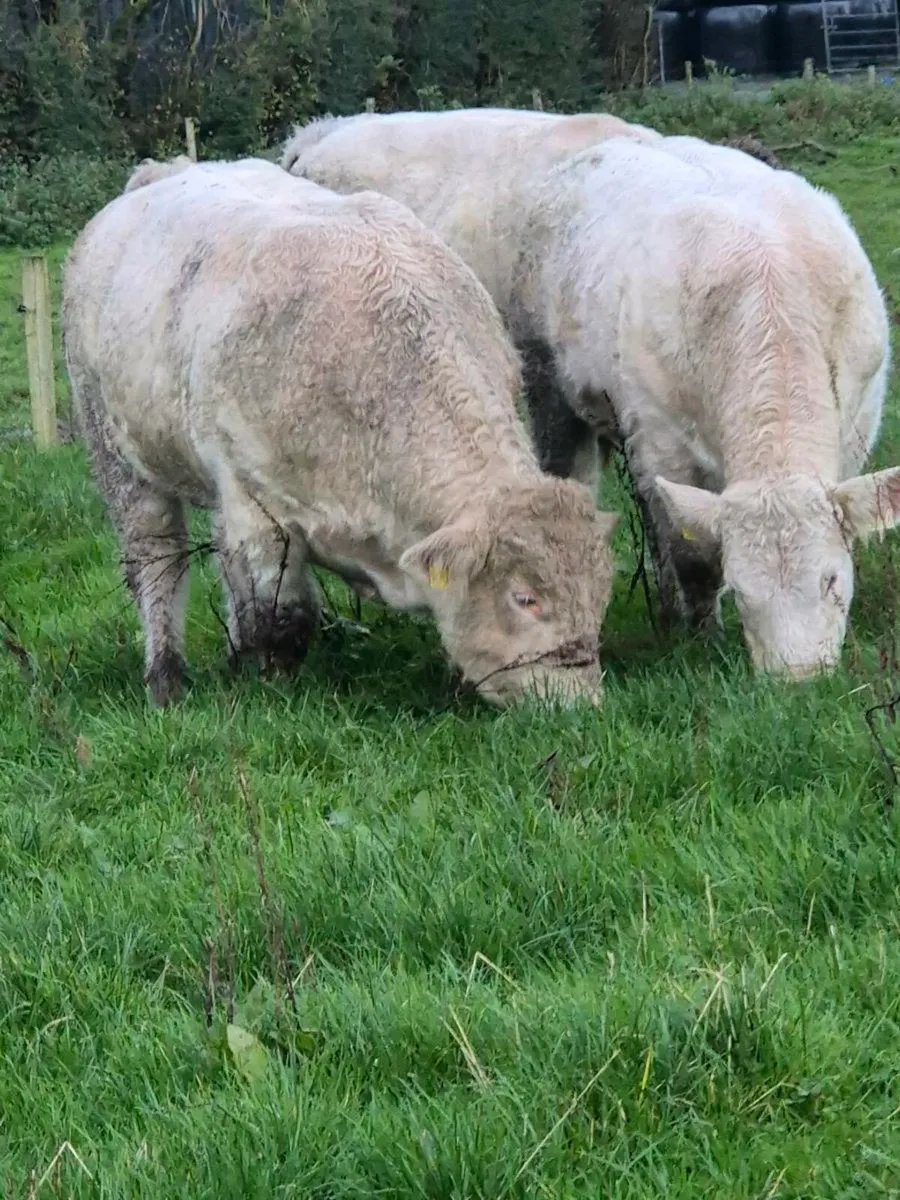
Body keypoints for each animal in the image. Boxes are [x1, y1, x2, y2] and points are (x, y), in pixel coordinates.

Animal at [61, 156, 619, 708]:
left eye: (601, 593)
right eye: (525, 598)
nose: (580, 705)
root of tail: (158, 174)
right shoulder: (255, 507)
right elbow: (279, 617)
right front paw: (272, 688)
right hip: (116, 454)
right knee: (157, 563)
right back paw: (166, 678)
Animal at [282, 110, 897, 679]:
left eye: (833, 580)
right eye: (745, 592)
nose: (798, 678)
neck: (766, 290)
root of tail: (322, 131)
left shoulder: (853, 431)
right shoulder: (659, 437)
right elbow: (692, 555)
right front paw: (700, 637)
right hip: (544, 387)